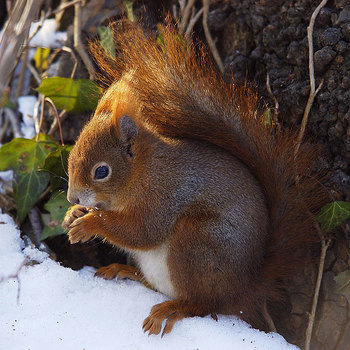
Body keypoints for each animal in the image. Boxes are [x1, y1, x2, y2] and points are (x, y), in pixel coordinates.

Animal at [62, 21, 322, 336]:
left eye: (101, 171)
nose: (72, 196)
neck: (141, 172)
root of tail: (243, 287)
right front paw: (73, 213)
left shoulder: (161, 196)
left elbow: (142, 231)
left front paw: (88, 223)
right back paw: (123, 270)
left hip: (196, 242)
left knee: (203, 304)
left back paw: (174, 308)